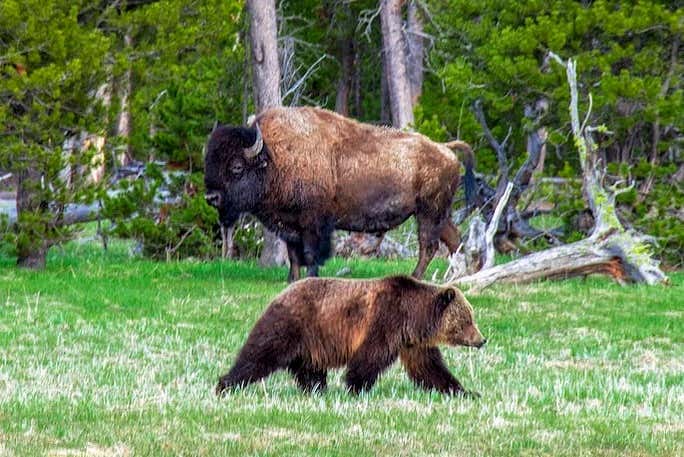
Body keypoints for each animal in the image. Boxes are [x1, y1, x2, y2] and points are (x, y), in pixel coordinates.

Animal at [215, 275, 486, 396]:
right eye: (468, 319)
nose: (482, 340)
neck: (414, 316)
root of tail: (280, 293)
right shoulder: (385, 320)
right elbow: (370, 356)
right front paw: (356, 387)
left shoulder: (413, 342)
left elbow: (430, 368)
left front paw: (465, 391)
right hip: (293, 323)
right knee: (260, 354)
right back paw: (225, 384)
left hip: (311, 342)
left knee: (309, 369)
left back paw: (316, 390)